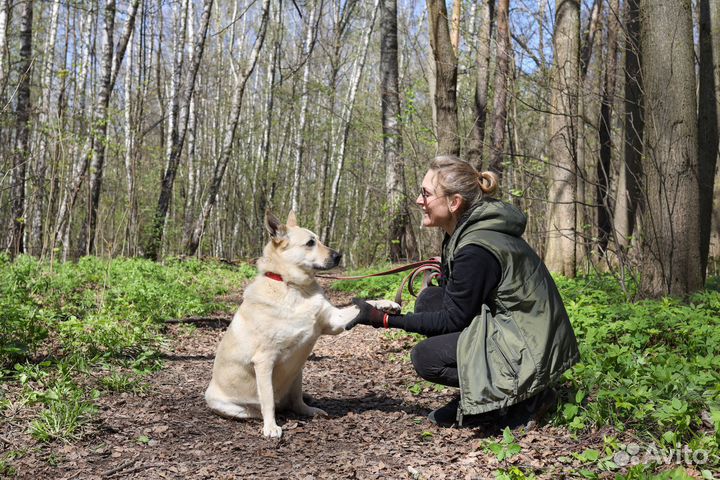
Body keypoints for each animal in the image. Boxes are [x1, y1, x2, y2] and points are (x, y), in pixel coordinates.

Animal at [205, 212, 400, 436]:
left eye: (320, 240)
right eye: (310, 243)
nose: (339, 256)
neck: (294, 287)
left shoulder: (334, 321)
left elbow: (366, 303)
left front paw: (387, 304)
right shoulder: (264, 360)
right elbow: (267, 400)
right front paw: (271, 426)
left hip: (297, 373)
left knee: (296, 403)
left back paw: (310, 410)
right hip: (230, 403)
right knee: (261, 407)